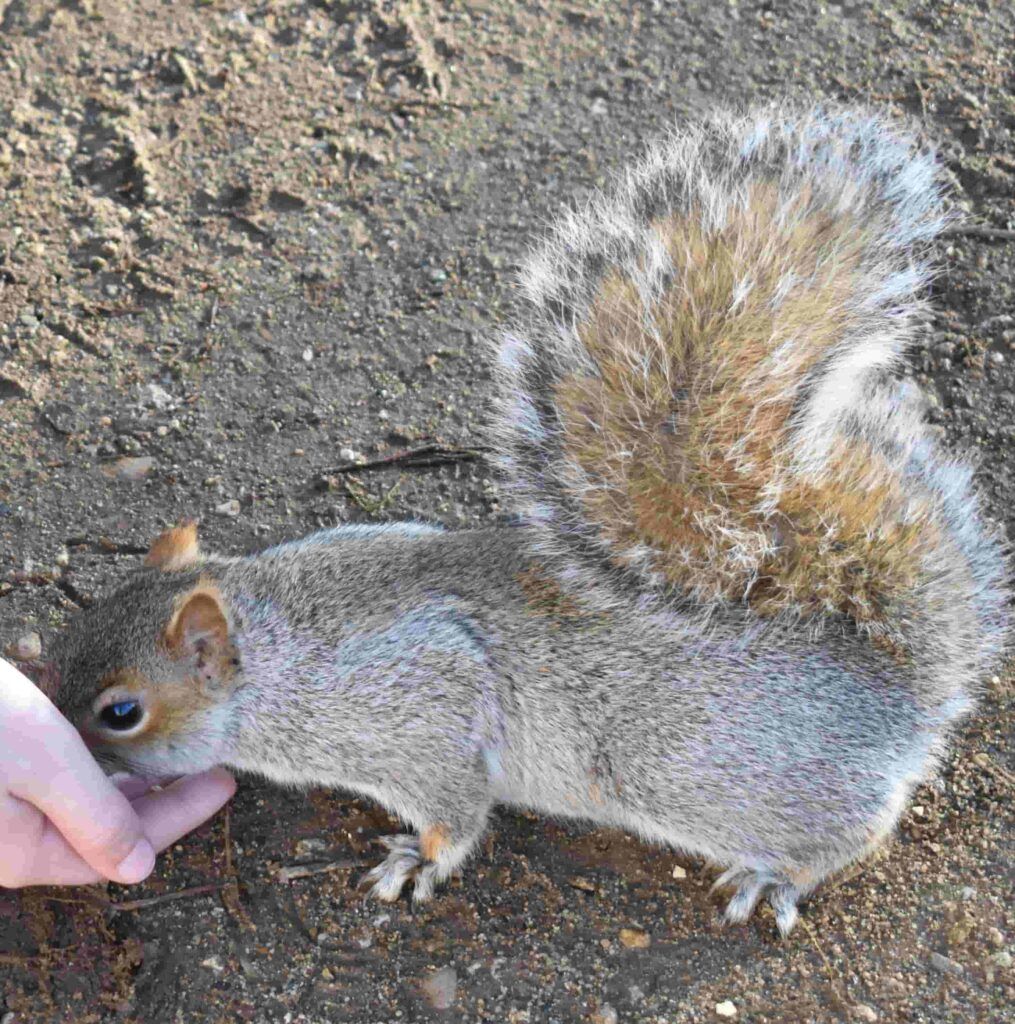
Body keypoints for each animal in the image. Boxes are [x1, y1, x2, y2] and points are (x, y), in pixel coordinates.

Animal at [44, 106, 1010, 935]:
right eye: (63, 638)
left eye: (121, 712)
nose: (60, 737)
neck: (279, 649)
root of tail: (904, 694)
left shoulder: (420, 713)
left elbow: (453, 811)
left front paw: (418, 860)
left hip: (701, 774)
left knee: (849, 832)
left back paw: (775, 875)